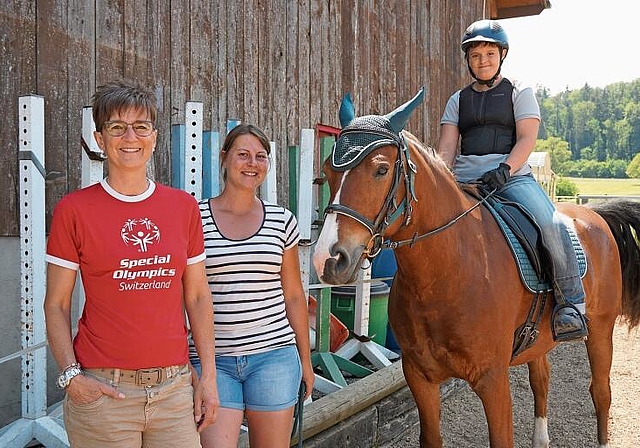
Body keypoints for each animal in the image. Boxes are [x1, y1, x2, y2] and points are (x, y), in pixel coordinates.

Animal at [312, 89, 640, 446]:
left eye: (381, 170)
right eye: (328, 170)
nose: (329, 257)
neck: (447, 276)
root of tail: (596, 216)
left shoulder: (492, 380)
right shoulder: (420, 378)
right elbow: (432, 437)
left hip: (601, 329)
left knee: (601, 392)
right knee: (542, 380)